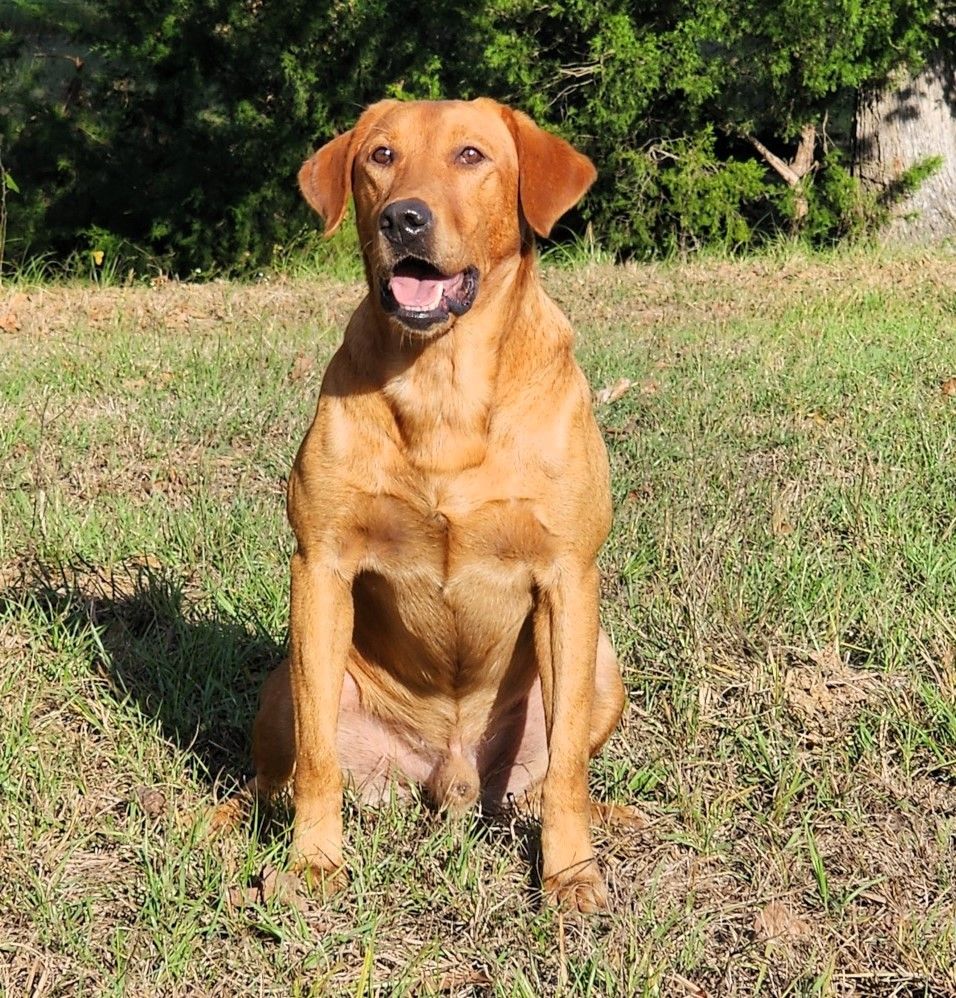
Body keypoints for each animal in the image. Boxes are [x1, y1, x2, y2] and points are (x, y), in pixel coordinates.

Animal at [236, 95, 632, 916]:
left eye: (471, 156)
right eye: (380, 156)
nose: (404, 219)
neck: (442, 379)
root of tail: (448, 780)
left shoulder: (568, 574)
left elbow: (568, 768)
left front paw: (569, 874)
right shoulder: (319, 567)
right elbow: (317, 760)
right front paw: (313, 863)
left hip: (603, 663)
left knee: (543, 780)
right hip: (287, 679)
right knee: (276, 777)